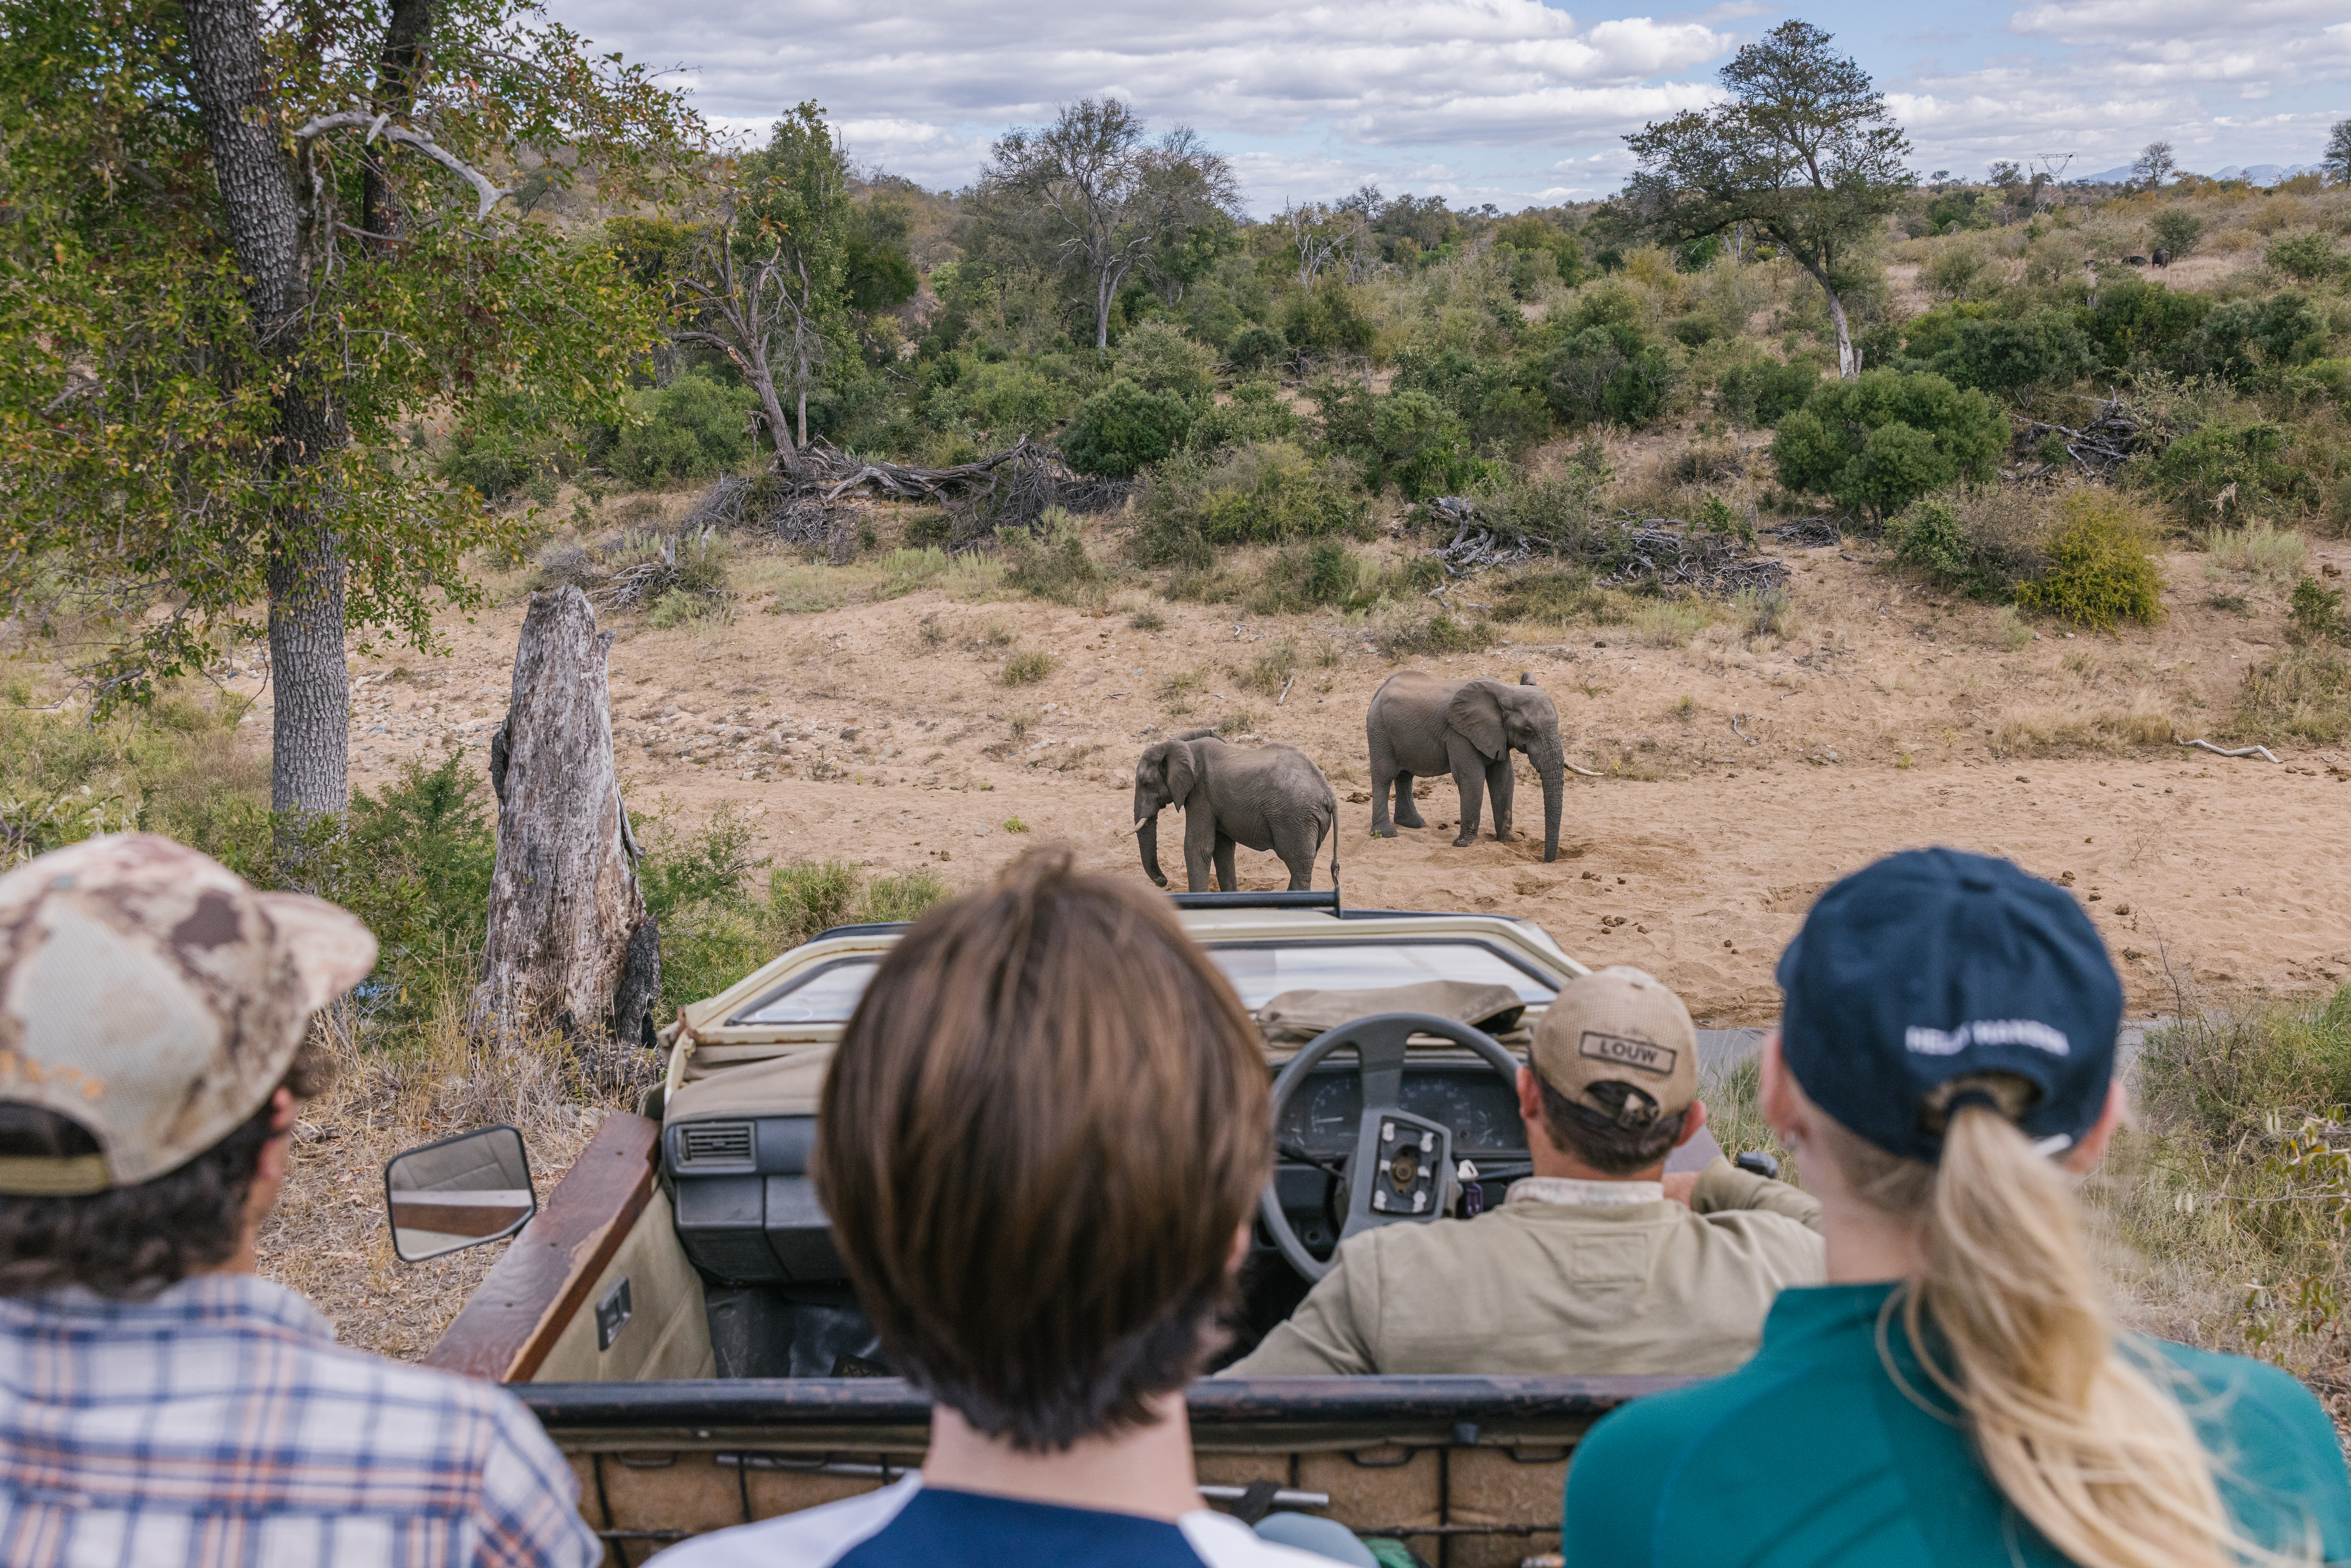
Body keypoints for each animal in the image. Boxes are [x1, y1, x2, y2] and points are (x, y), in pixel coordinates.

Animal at [1131, 730, 1338, 893]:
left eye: (1146, 784)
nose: (1164, 881)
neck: (1182, 745)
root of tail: (1329, 795)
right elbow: (1222, 849)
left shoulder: (1200, 794)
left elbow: (1198, 847)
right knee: (1301, 866)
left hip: (1297, 820)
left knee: (1299, 867)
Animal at [1366, 671, 1566, 863]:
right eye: (1527, 731)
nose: (1547, 861)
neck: (1507, 691)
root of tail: (1380, 690)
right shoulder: (1459, 734)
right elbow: (1472, 778)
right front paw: (1464, 845)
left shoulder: (1498, 736)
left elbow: (1504, 779)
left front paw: (1511, 840)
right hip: (1379, 730)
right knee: (1384, 777)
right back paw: (1386, 834)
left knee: (1405, 776)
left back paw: (1414, 824)